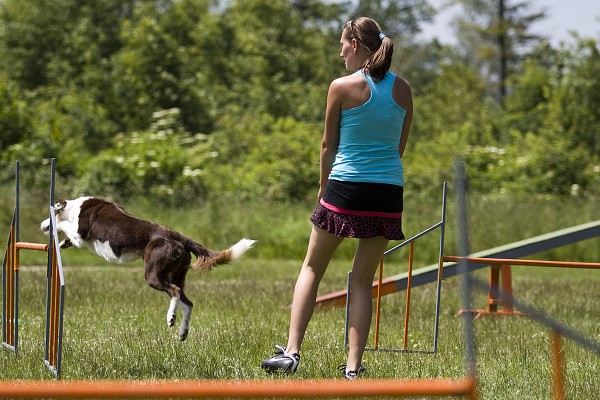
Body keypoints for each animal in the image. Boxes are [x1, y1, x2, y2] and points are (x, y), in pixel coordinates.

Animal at [39, 197, 255, 340]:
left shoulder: (79, 232)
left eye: (48, 215)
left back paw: (170, 318)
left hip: (153, 274)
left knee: (175, 292)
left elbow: (64, 225)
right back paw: (182, 332)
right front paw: (60, 244)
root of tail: (178, 236)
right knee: (188, 302)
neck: (73, 207)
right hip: (175, 274)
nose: (41, 225)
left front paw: (58, 229)